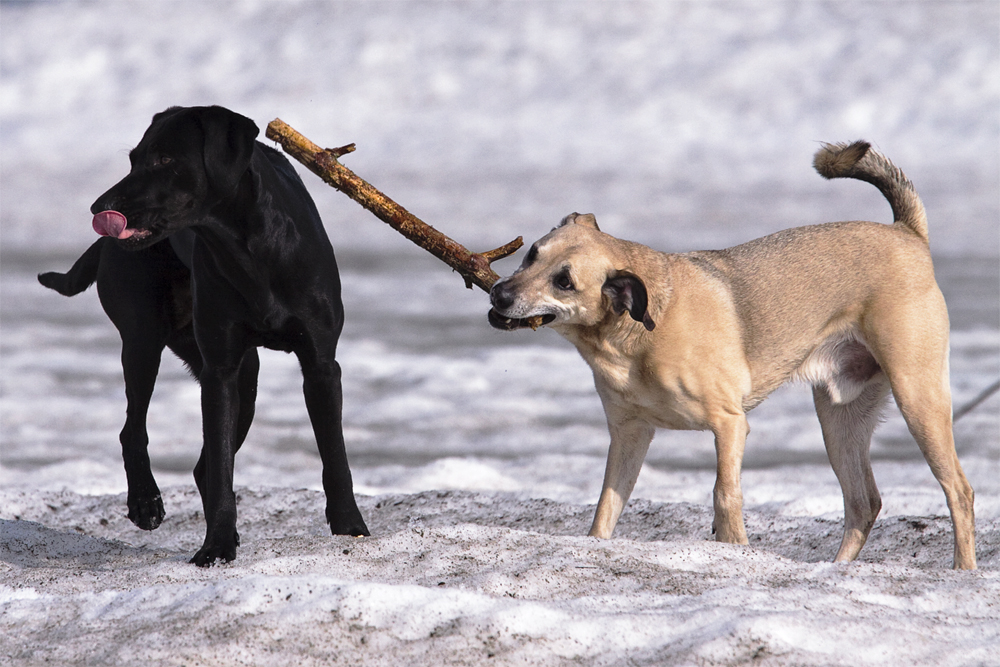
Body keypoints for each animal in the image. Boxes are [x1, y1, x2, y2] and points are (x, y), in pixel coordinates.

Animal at [38, 107, 372, 568]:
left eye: (163, 160)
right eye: (133, 159)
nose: (98, 209)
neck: (248, 249)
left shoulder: (320, 365)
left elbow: (334, 456)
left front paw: (350, 530)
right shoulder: (220, 372)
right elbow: (220, 463)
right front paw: (215, 547)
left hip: (245, 377)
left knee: (201, 465)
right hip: (143, 340)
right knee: (134, 429)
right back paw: (146, 502)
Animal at [490, 141, 976, 568]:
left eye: (564, 282)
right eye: (531, 254)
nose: (498, 294)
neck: (637, 333)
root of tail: (906, 233)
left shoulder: (729, 425)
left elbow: (725, 495)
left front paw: (735, 549)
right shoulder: (629, 435)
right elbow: (607, 506)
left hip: (918, 397)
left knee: (959, 491)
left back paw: (962, 570)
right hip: (840, 417)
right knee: (863, 503)